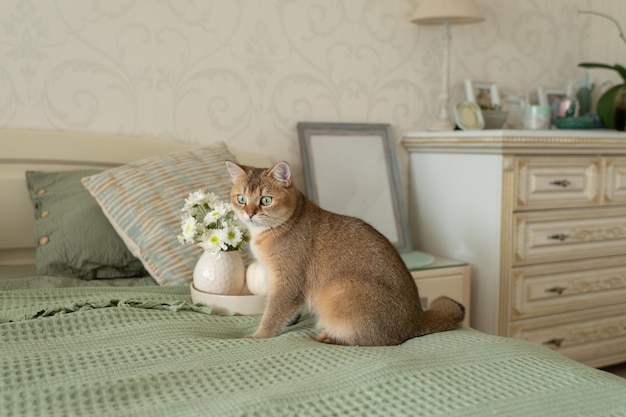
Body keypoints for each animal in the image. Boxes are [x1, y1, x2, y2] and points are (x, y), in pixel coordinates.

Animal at [224, 159, 464, 344]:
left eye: (266, 200)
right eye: (241, 198)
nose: (250, 214)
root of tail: (417, 319)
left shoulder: (288, 282)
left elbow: (272, 312)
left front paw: (257, 337)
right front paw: (289, 322)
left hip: (338, 287)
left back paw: (328, 337)